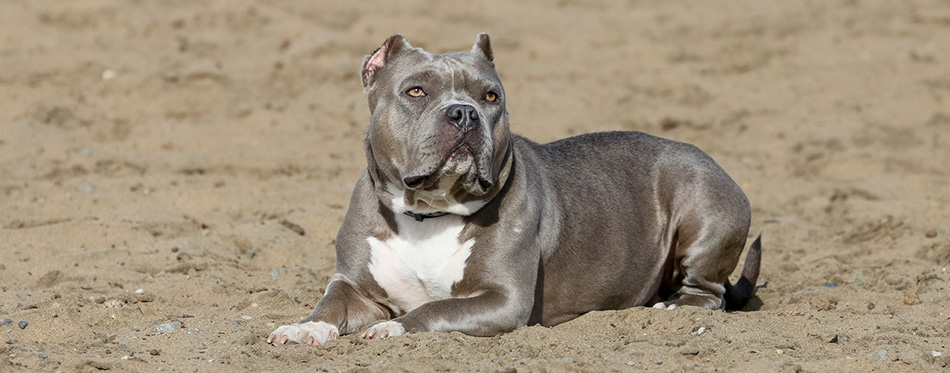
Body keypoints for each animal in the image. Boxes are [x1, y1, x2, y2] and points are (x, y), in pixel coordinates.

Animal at [270, 33, 768, 344]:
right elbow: (328, 307)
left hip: (701, 202)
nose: (463, 113)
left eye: (491, 96)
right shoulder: (353, 286)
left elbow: (434, 309)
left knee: (709, 293)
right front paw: (303, 328)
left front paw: (395, 328)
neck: (428, 212)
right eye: (415, 91)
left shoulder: (502, 300)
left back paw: (674, 308)